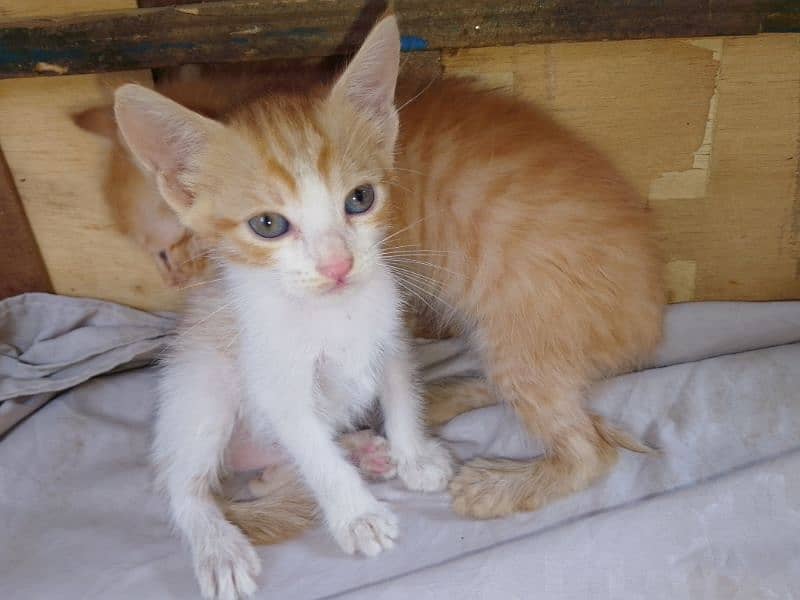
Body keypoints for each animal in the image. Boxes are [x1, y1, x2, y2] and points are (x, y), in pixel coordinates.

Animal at [112, 18, 454, 600]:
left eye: (360, 199)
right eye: (268, 224)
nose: (339, 264)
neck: (334, 311)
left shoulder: (391, 339)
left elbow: (402, 395)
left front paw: (414, 454)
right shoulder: (278, 384)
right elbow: (312, 448)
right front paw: (356, 514)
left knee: (269, 471)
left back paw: (358, 452)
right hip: (200, 387)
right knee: (185, 487)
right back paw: (218, 543)